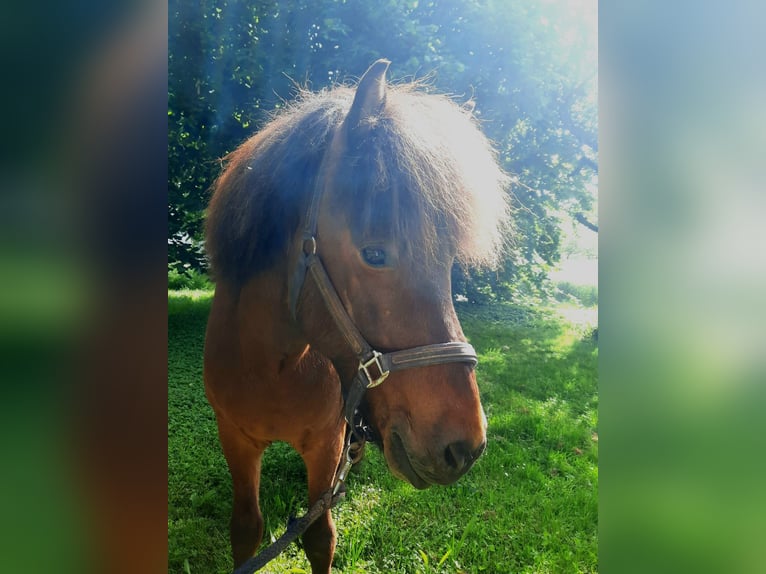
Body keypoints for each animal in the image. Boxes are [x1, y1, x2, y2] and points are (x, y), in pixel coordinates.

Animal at [203, 59, 509, 573]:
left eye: (448, 261)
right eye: (374, 253)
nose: (465, 448)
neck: (270, 368)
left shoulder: (327, 444)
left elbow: (319, 536)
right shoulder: (236, 440)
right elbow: (246, 530)